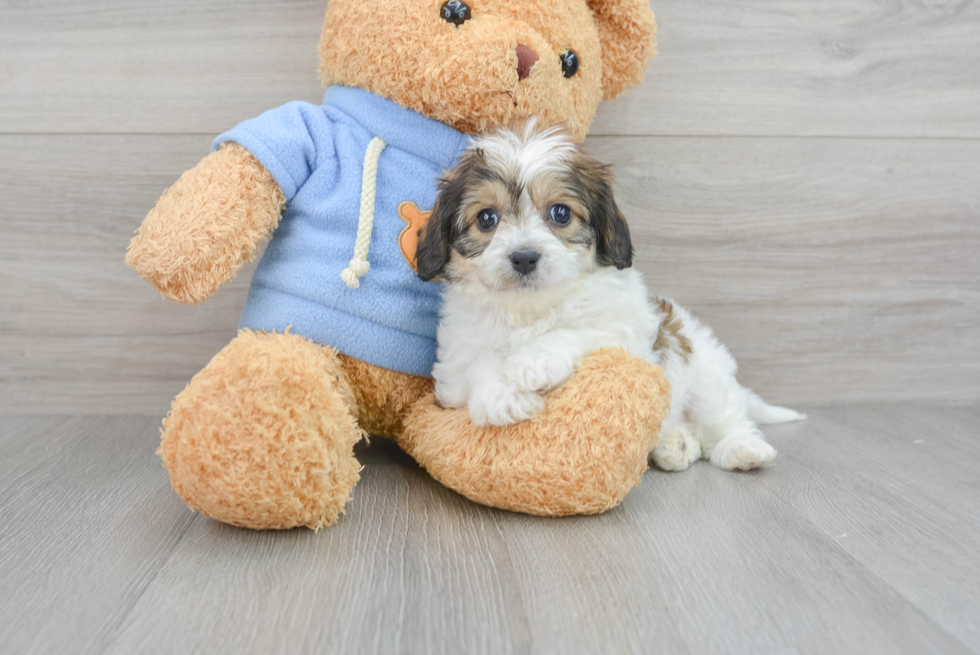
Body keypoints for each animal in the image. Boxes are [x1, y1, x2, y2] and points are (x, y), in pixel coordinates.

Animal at [414, 119, 804, 472]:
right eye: (486, 218)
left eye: (560, 213)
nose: (524, 257)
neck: (530, 310)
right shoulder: (454, 368)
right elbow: (477, 367)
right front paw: (503, 397)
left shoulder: (624, 337)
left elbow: (579, 331)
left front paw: (533, 361)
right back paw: (673, 445)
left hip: (705, 374)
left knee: (725, 419)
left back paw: (742, 449)